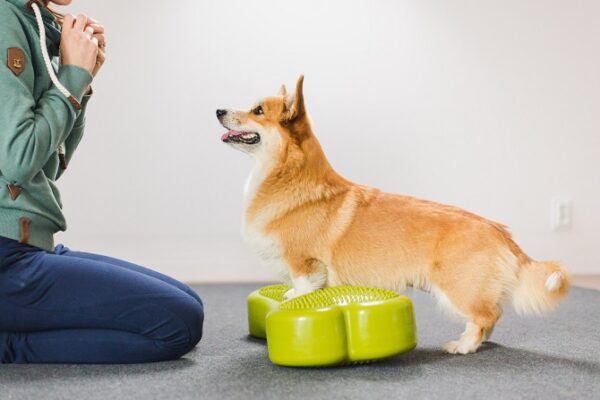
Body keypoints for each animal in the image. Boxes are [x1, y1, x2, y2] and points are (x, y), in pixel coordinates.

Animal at [218, 75, 568, 354]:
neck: (288, 177)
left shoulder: (305, 266)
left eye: (258, 111)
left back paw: (463, 345)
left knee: (487, 315)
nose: (218, 111)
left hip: (455, 288)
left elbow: (302, 292)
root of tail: (500, 231)